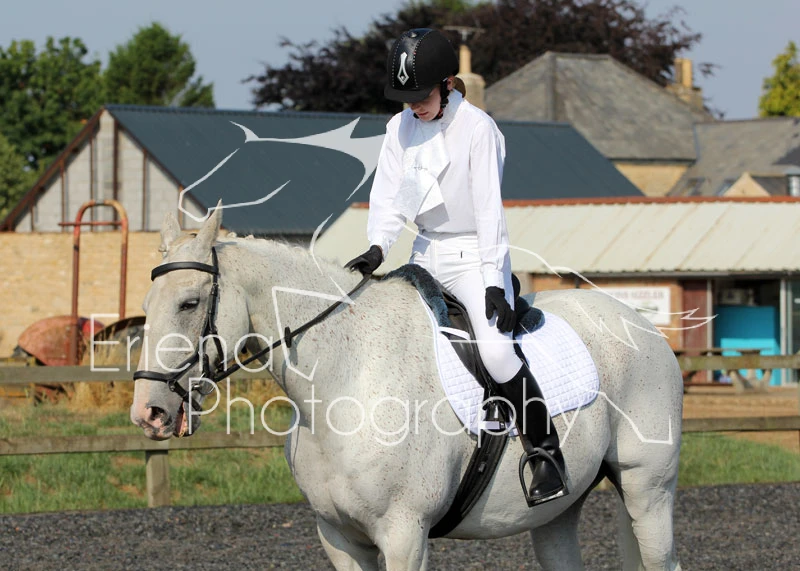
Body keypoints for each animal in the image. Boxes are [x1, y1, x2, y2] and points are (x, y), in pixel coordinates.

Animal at [131, 207, 683, 570]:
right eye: (147, 302)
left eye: (188, 303)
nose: (148, 413)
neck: (344, 379)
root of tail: (644, 326)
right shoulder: (340, 538)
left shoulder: (403, 534)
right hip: (556, 513)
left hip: (648, 492)